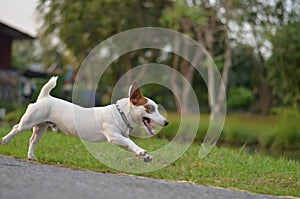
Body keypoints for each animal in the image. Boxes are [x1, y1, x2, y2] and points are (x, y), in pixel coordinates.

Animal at [1, 77, 169, 162]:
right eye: (149, 108)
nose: (166, 122)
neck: (121, 114)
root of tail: (44, 97)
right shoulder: (114, 136)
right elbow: (130, 142)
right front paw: (141, 151)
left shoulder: (120, 138)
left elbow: (129, 144)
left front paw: (144, 155)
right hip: (28, 122)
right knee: (16, 128)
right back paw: (5, 140)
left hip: (41, 128)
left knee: (32, 140)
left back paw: (31, 156)